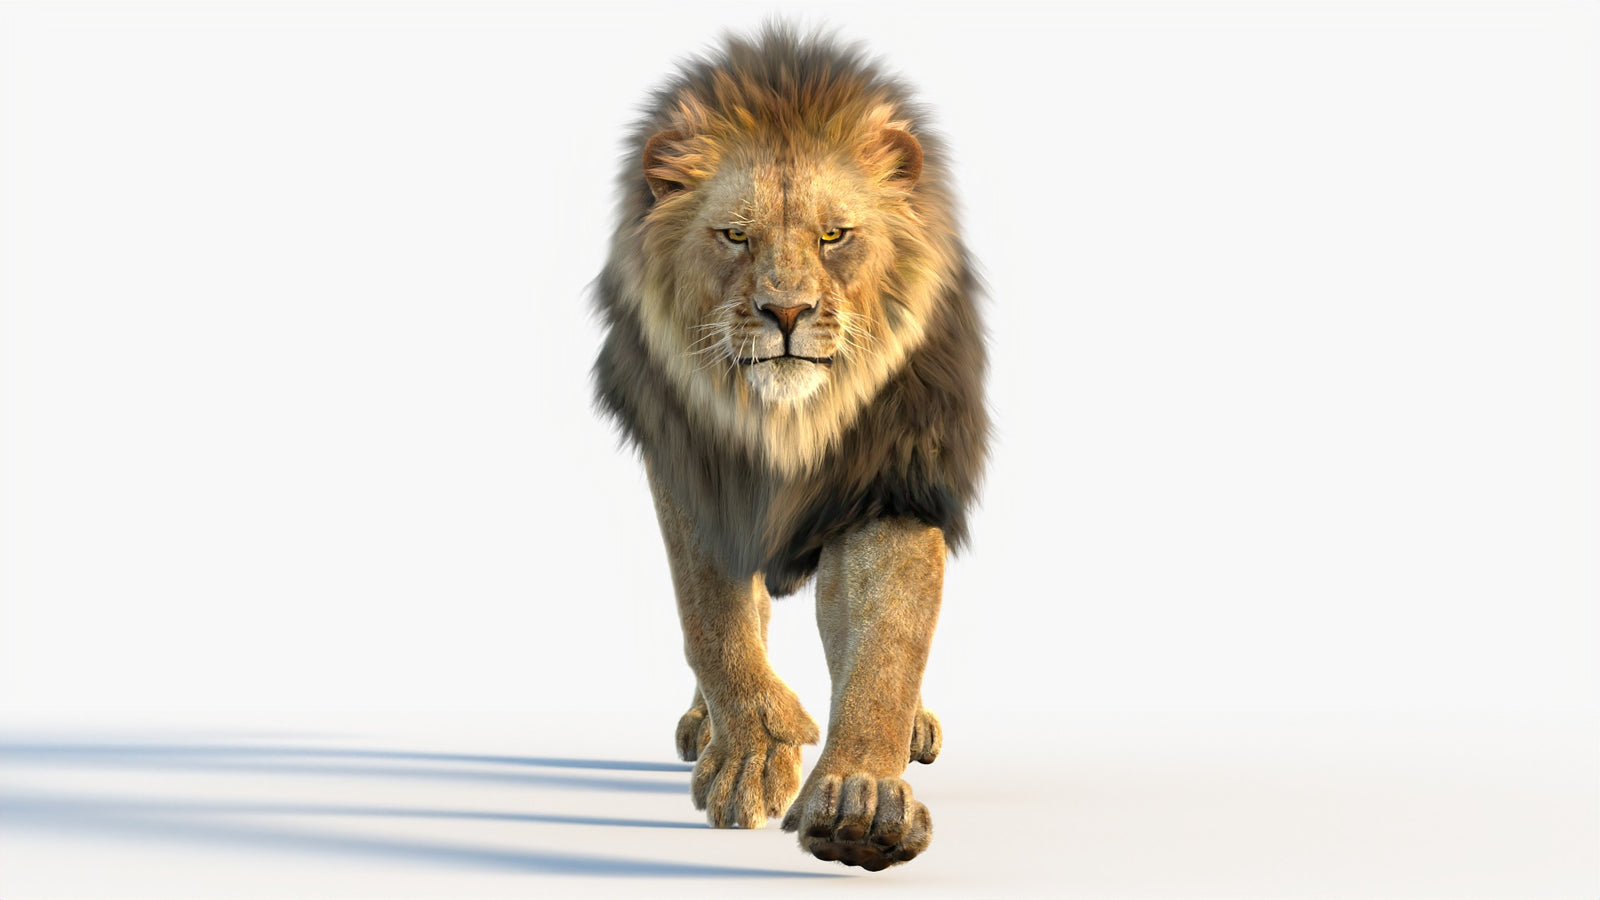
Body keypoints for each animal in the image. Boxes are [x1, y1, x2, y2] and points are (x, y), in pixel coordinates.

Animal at [591, 25, 987, 870]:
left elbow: (887, 643)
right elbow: (713, 619)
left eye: (833, 236)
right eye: (736, 236)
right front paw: (753, 748)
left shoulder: (891, 473)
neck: (788, 421)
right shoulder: (693, 465)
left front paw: (860, 799)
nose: (786, 312)